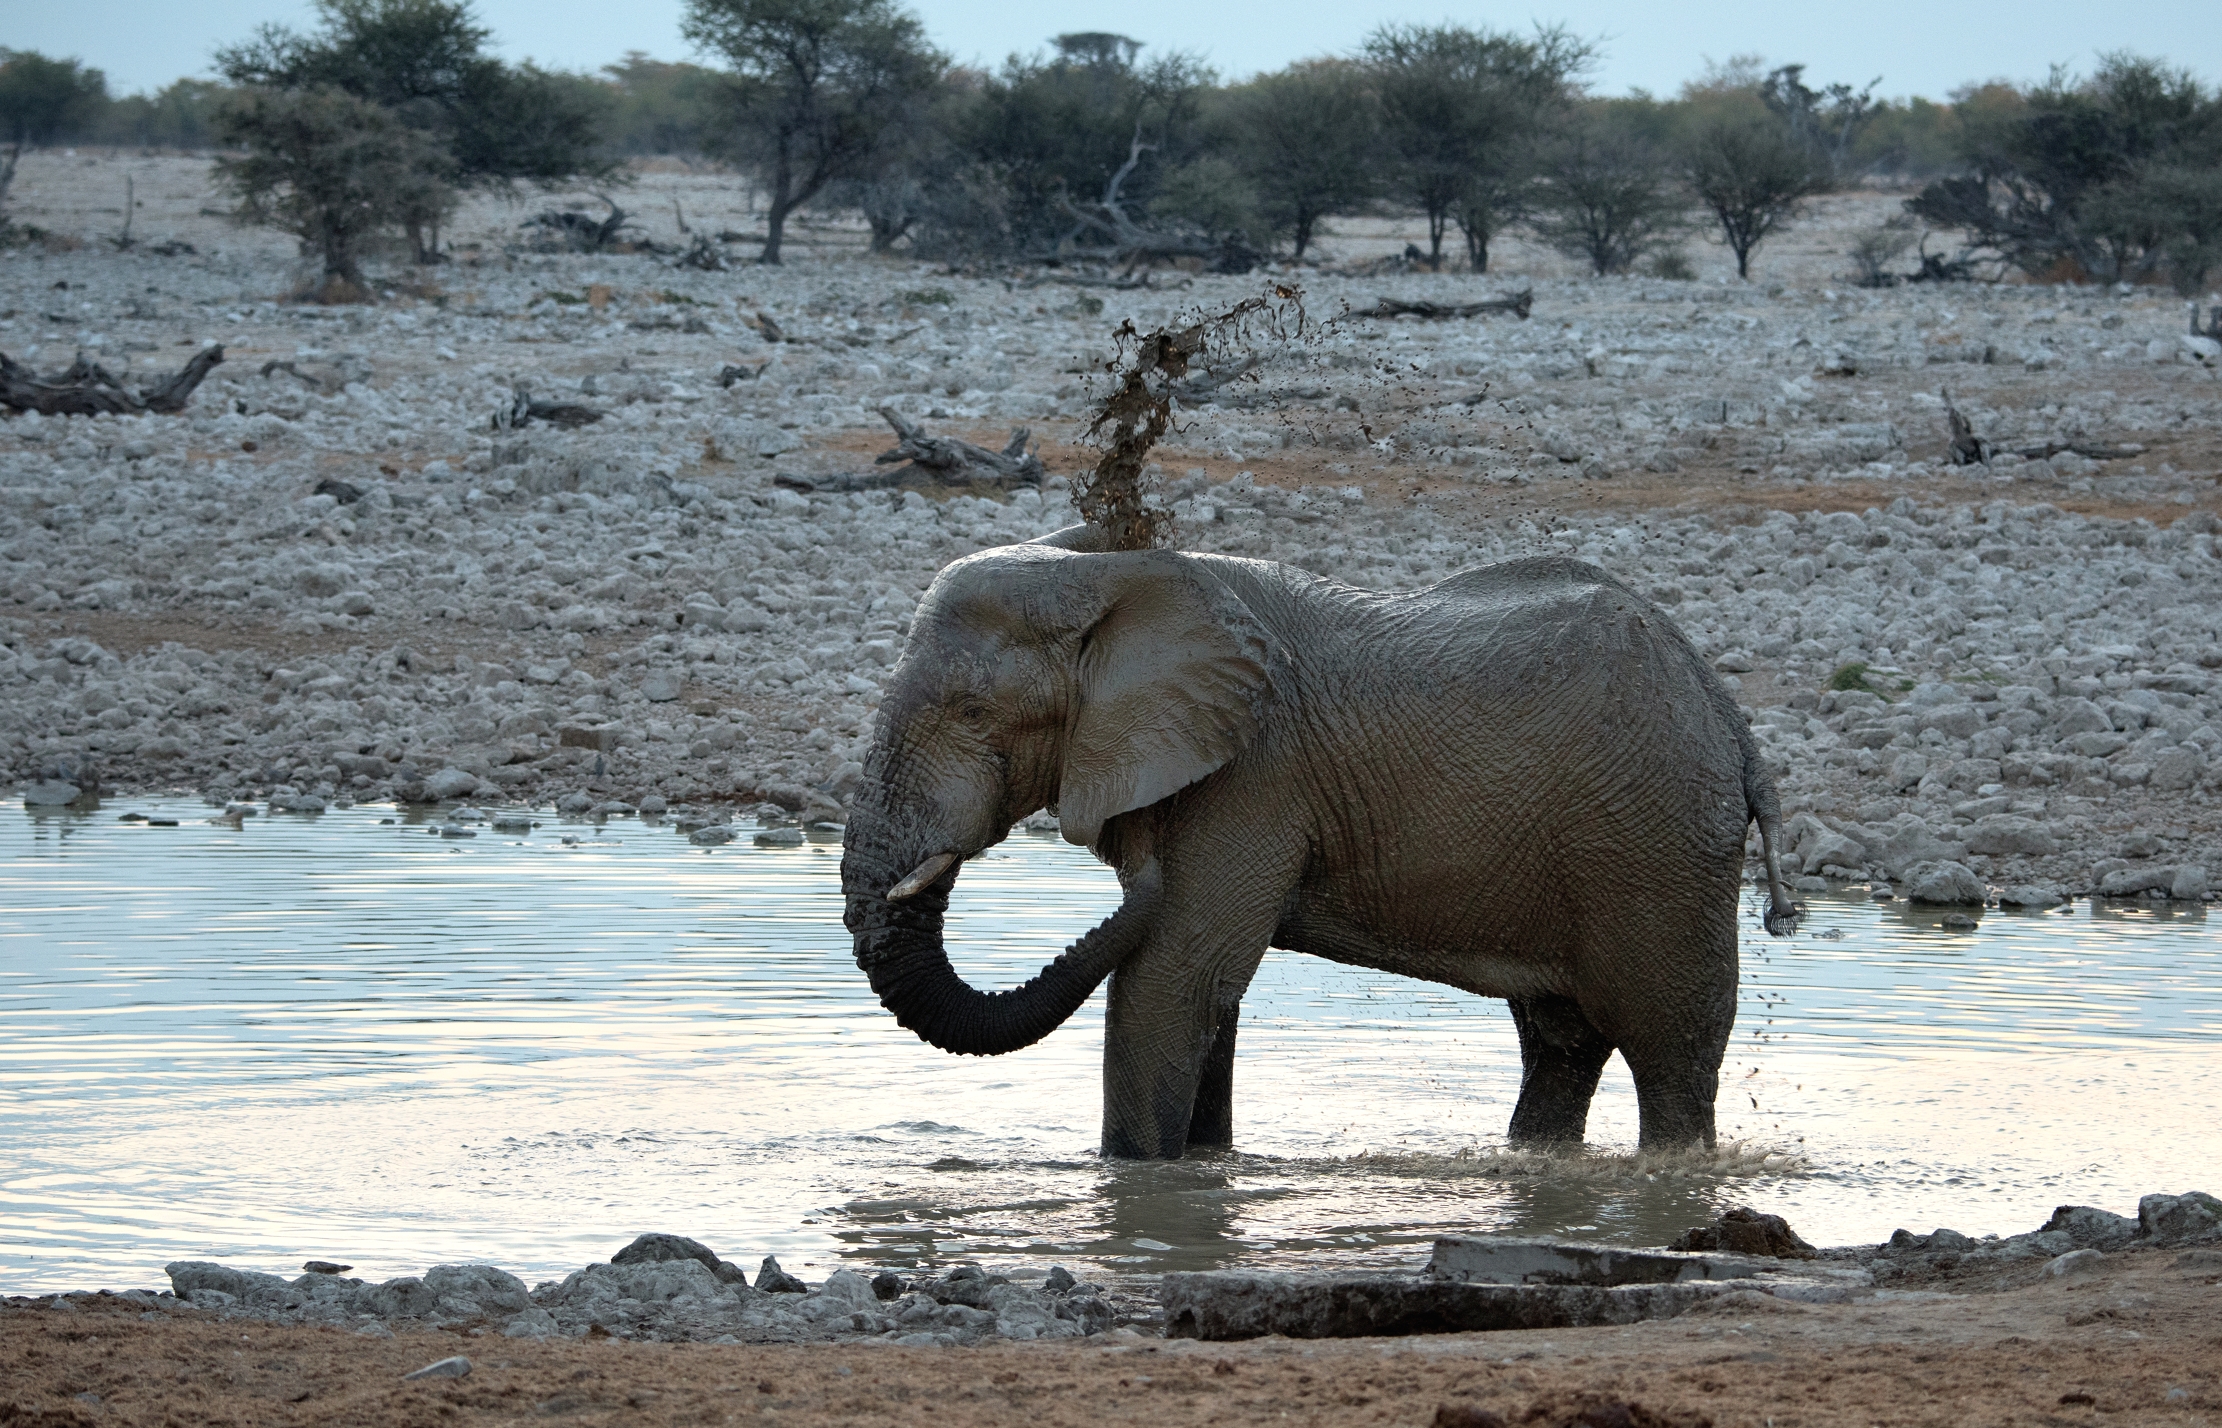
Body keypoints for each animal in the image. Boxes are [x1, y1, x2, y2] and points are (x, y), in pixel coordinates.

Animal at [840, 523, 1800, 1160]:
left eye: (972, 714)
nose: (1137, 870)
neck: (1114, 574)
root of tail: (1728, 715)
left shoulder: (1252, 779)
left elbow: (1172, 980)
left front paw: (1131, 1180)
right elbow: (1204, 996)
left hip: (1655, 845)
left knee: (1670, 1055)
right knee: (1562, 1044)